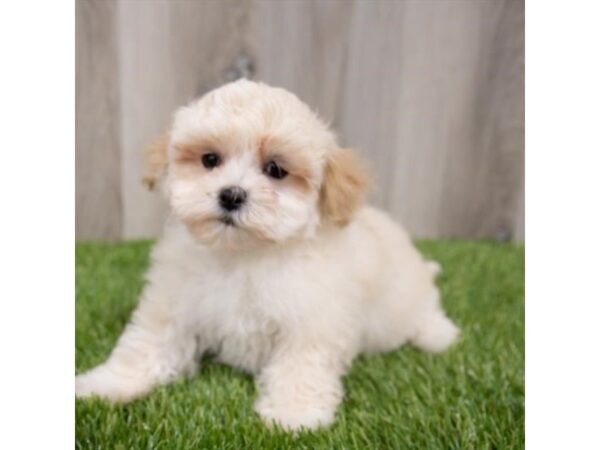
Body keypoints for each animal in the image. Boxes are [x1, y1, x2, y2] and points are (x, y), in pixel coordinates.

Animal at [75, 79, 460, 430]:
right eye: (210, 159)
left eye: (275, 169)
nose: (231, 195)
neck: (243, 254)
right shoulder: (173, 302)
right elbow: (145, 345)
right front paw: (106, 384)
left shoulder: (312, 321)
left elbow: (301, 365)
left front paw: (294, 416)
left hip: (410, 297)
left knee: (426, 311)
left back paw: (439, 335)